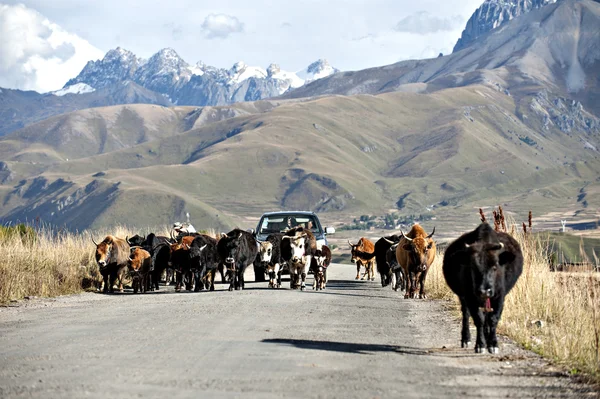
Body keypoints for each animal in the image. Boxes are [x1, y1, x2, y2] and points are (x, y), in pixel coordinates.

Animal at [442, 223, 524, 354]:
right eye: (472, 267)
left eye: (495, 266)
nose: (485, 291)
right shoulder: (470, 297)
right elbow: (478, 319)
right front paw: (480, 345)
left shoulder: (500, 297)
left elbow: (493, 319)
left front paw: (493, 344)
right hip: (463, 298)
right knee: (466, 314)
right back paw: (466, 339)